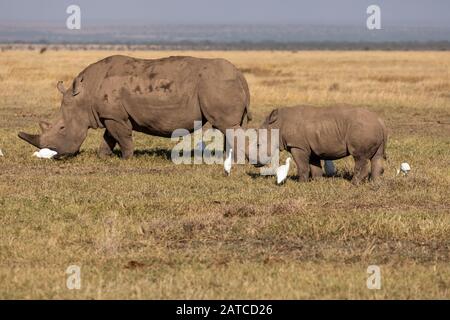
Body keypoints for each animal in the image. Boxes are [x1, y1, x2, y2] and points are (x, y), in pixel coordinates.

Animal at [18, 55, 250, 159]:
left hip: (217, 84)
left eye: (62, 128)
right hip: (220, 84)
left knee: (226, 125)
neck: (85, 94)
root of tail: (240, 76)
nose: (54, 155)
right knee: (228, 126)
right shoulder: (110, 115)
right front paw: (104, 157)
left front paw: (126, 158)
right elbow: (109, 138)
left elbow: (122, 137)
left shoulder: (115, 117)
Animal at [256, 106, 386, 184]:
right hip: (371, 128)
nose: (254, 163)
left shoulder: (298, 146)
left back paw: (354, 183)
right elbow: (314, 165)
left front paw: (301, 183)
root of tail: (380, 121)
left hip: (363, 130)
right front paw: (317, 181)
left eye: (258, 145)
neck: (277, 124)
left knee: (359, 157)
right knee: (376, 157)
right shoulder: (311, 146)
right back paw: (375, 183)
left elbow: (302, 165)